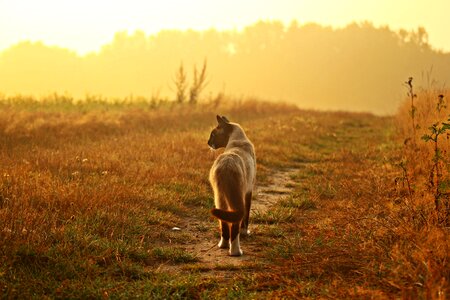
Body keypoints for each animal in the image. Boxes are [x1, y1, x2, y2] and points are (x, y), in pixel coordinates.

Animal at [208, 115, 256, 255]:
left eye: (212, 135)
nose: (208, 142)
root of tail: (227, 165)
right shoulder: (249, 191)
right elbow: (246, 218)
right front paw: (246, 232)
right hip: (238, 197)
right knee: (235, 224)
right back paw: (236, 252)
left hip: (219, 198)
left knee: (224, 224)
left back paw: (223, 245)